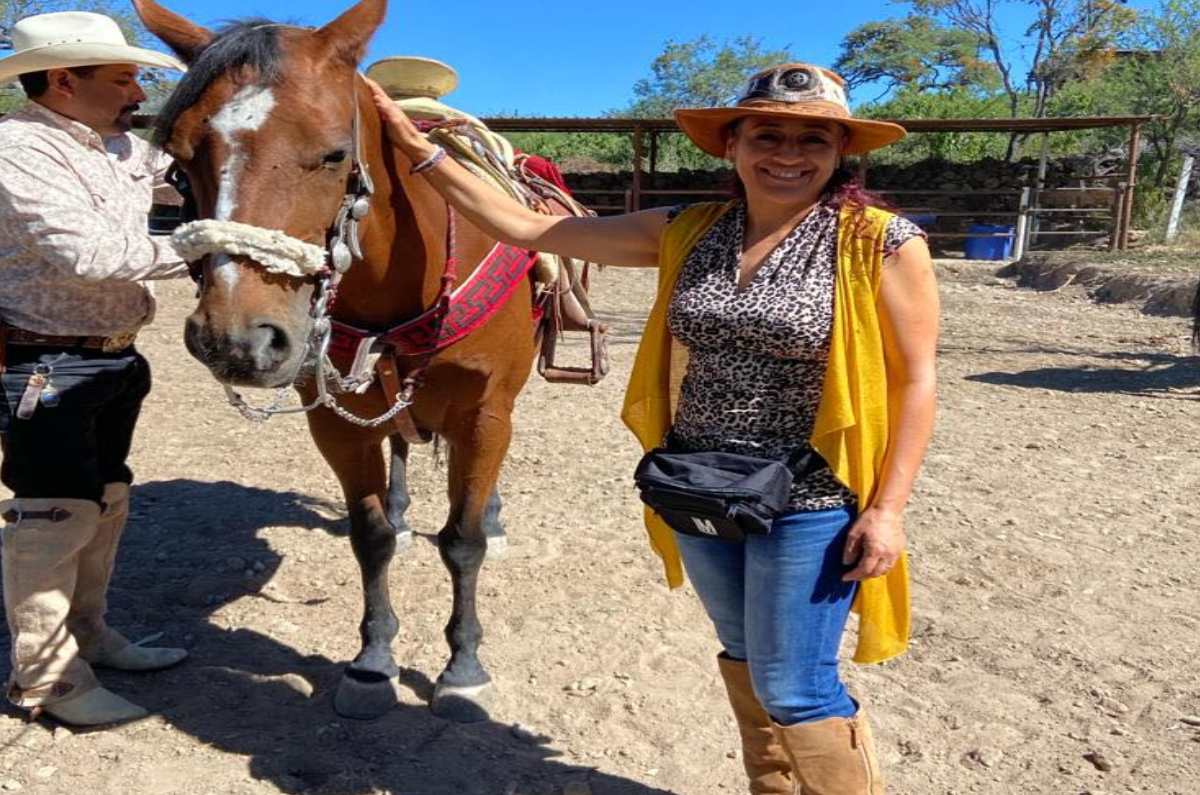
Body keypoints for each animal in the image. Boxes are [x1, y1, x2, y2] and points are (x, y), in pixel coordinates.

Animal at [132, 0, 535, 720]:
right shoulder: (336, 424)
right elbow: (369, 537)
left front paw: (463, 667)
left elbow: (463, 541)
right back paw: (404, 510)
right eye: (178, 164)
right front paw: (373, 661)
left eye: (333, 153)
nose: (236, 338)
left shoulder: (486, 412)